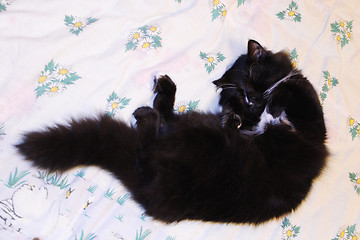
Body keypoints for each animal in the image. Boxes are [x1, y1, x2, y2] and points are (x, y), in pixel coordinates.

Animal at [15, 39, 328, 225]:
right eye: (241, 90)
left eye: (254, 77)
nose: (251, 98)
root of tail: (147, 189)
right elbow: (256, 109)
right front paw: (239, 112)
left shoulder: (309, 117)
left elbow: (290, 94)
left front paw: (272, 108)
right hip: (198, 134)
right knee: (153, 135)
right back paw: (155, 102)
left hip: (196, 136)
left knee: (152, 137)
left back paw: (148, 110)